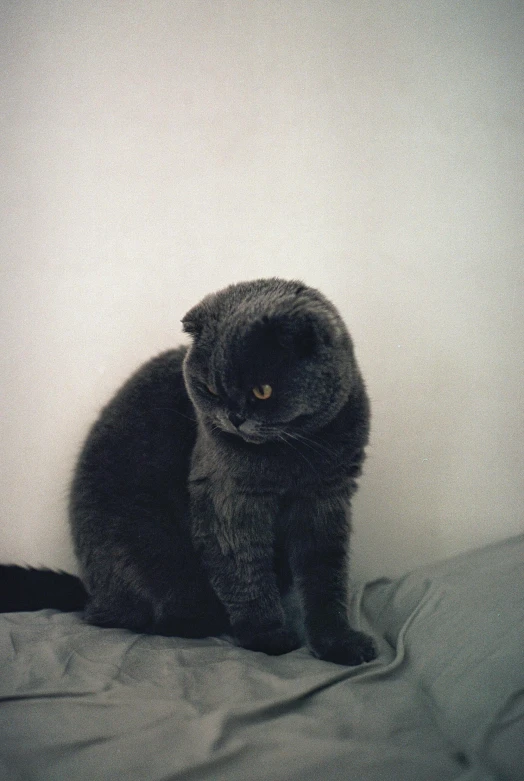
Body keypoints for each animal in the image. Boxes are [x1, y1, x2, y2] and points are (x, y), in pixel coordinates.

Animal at [0, 276, 376, 664]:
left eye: (263, 390)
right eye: (210, 388)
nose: (234, 417)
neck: (292, 455)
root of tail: (91, 594)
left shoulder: (327, 497)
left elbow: (325, 577)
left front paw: (339, 642)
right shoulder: (227, 497)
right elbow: (245, 571)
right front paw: (267, 636)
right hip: (150, 554)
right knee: (148, 617)